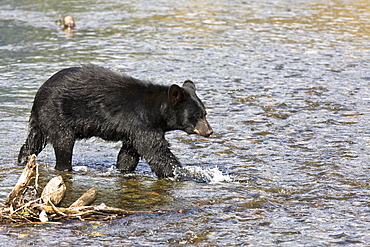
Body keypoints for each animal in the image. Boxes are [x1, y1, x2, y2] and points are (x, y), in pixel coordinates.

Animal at [17, 64, 212, 178]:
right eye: (197, 116)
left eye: (205, 113)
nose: (209, 131)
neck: (155, 111)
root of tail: (39, 93)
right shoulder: (141, 123)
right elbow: (156, 151)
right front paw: (185, 174)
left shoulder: (133, 130)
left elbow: (128, 154)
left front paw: (123, 170)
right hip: (58, 115)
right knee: (63, 145)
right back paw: (66, 168)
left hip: (43, 121)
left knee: (33, 142)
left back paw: (23, 160)